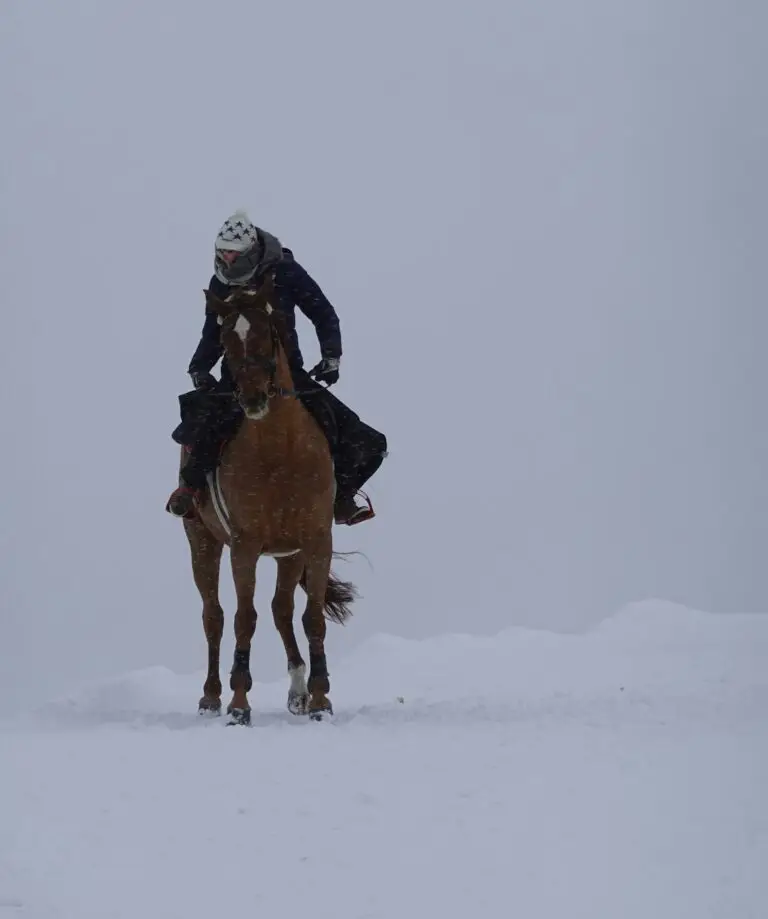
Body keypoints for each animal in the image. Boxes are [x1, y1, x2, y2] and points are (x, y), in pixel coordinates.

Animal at [179, 275, 357, 724]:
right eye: (225, 338)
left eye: (267, 331)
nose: (253, 397)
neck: (280, 451)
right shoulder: (244, 545)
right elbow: (244, 618)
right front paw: (239, 704)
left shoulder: (315, 539)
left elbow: (311, 617)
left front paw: (320, 698)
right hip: (201, 541)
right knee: (214, 616)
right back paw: (210, 697)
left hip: (289, 555)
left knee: (281, 610)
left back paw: (297, 691)